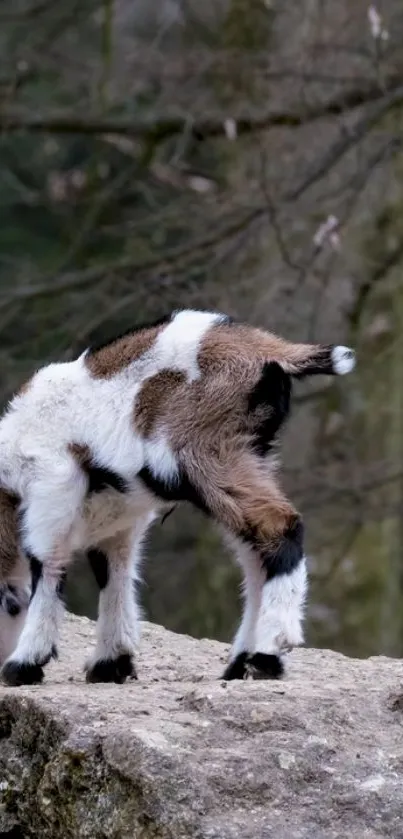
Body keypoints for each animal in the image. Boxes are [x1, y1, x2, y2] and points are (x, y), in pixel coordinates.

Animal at [0, 312, 356, 684]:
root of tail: (269, 349)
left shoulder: (52, 490)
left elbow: (47, 564)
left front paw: (24, 663)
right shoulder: (118, 519)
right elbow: (115, 574)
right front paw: (112, 662)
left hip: (206, 455)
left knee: (278, 527)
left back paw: (268, 651)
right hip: (248, 456)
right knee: (255, 554)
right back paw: (244, 663)